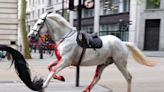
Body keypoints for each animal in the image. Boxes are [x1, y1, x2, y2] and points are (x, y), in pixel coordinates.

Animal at [27, 12, 156, 92]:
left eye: (39, 23)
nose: (30, 36)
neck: (65, 37)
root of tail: (123, 43)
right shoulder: (61, 60)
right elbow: (50, 67)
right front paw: (61, 78)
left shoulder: (66, 62)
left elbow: (53, 70)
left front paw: (43, 85)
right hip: (103, 64)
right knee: (97, 78)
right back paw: (86, 90)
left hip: (120, 63)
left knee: (128, 77)